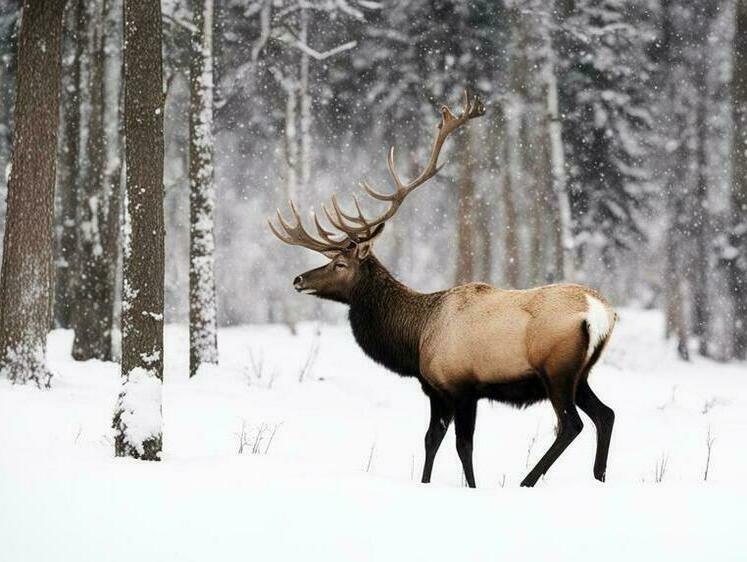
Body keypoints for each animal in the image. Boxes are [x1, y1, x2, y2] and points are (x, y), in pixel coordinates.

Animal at [268, 91, 612, 486]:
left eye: (340, 264)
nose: (298, 279)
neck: (414, 339)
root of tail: (602, 314)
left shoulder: (459, 386)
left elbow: (462, 446)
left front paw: (472, 486)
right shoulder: (436, 389)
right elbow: (432, 439)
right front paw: (426, 481)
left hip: (556, 369)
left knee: (571, 424)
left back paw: (528, 480)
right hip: (582, 373)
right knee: (606, 414)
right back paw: (598, 477)